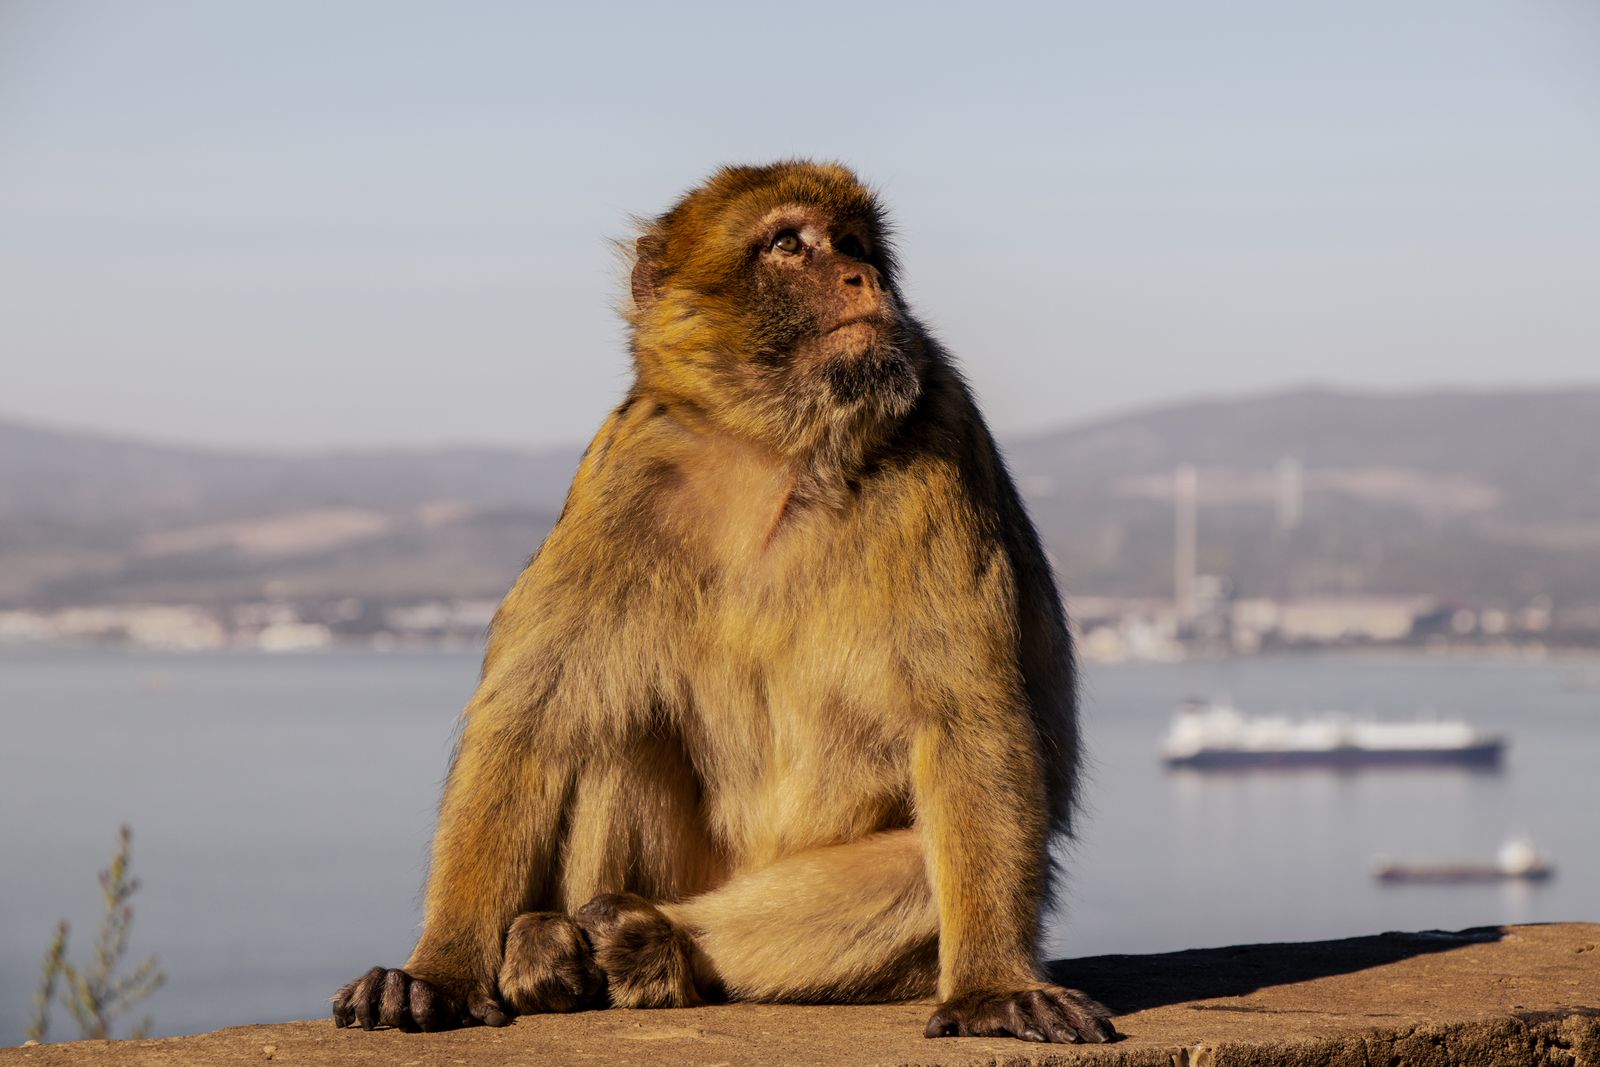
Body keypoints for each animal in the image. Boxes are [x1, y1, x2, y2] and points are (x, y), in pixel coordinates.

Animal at [331, 161, 1115, 1045]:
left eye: (854, 244)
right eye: (789, 245)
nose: (865, 280)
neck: (775, 450)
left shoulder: (942, 438)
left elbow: (967, 722)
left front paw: (991, 986)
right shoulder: (621, 472)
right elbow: (530, 720)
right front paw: (439, 969)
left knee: (917, 863)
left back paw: (650, 944)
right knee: (610, 734)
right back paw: (552, 939)